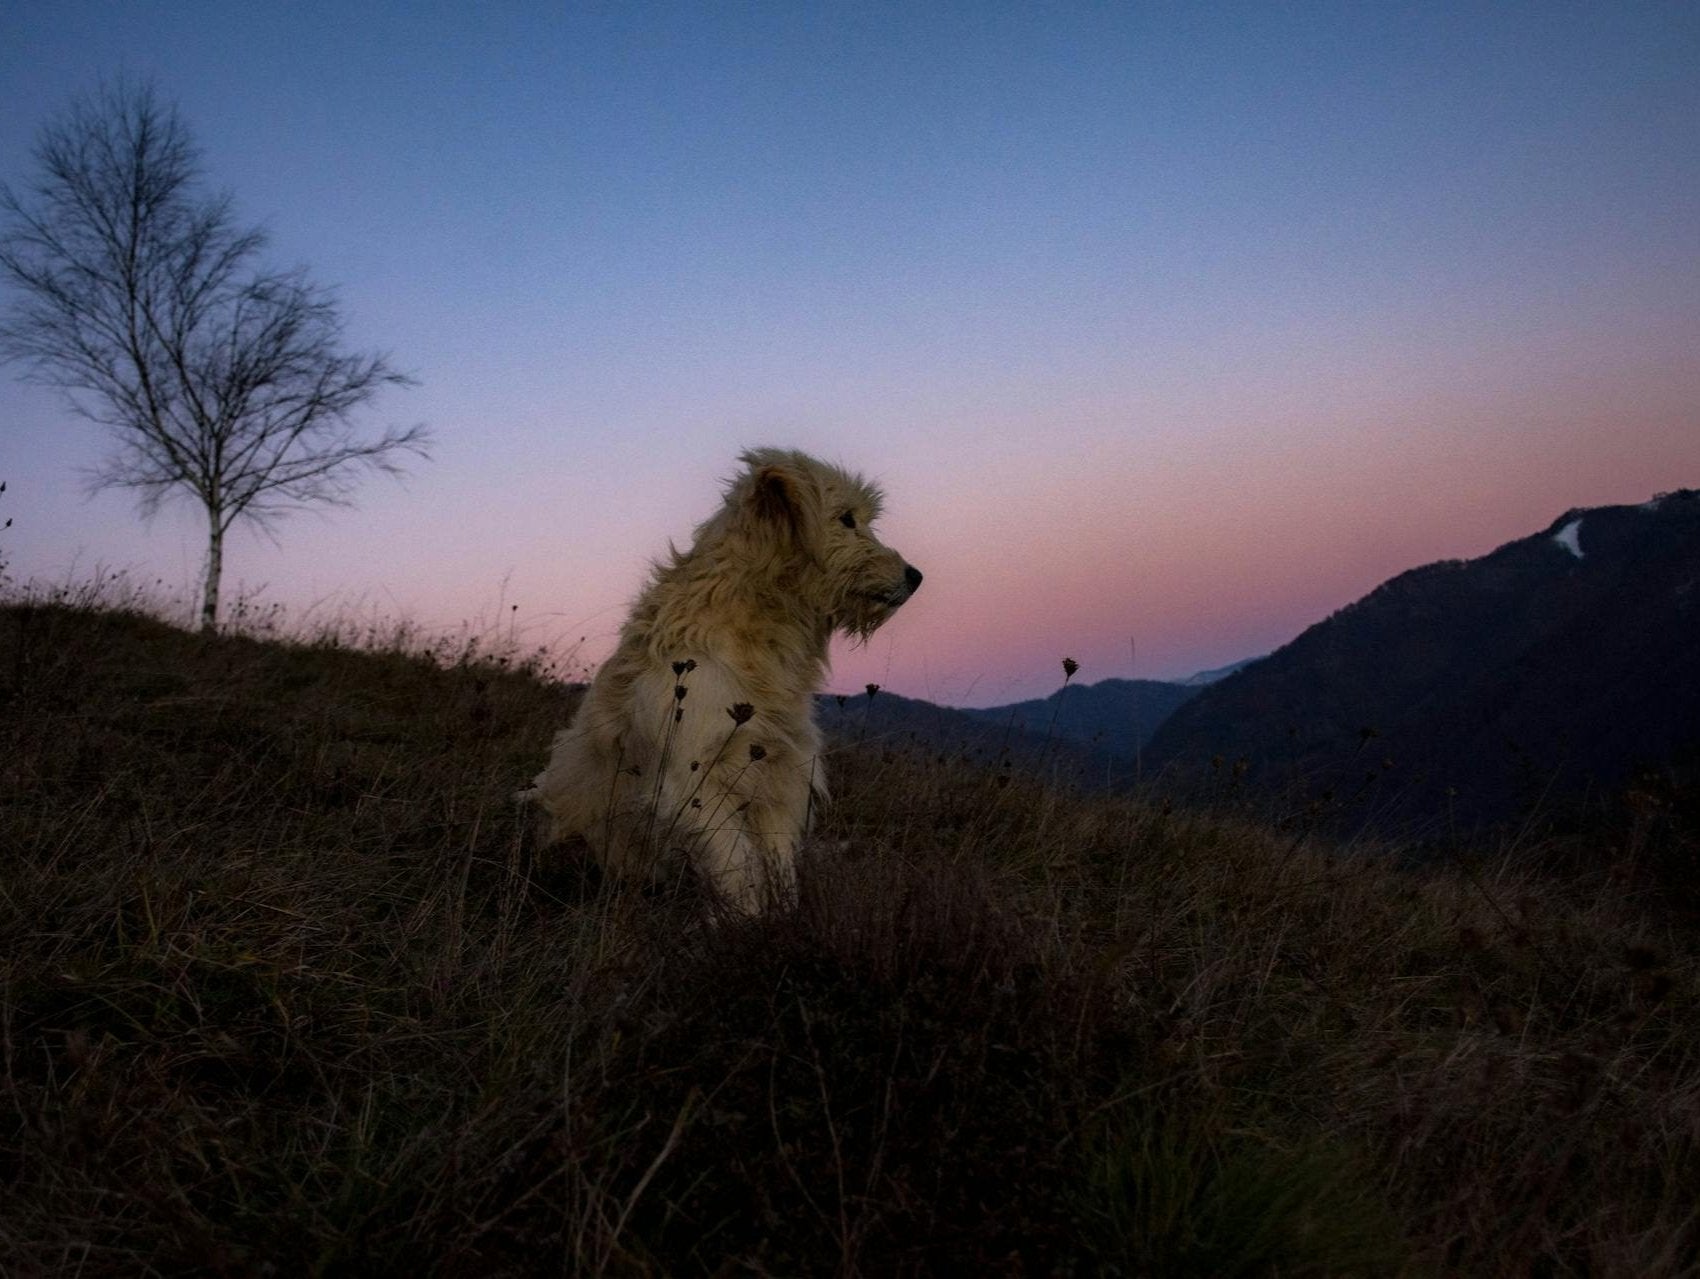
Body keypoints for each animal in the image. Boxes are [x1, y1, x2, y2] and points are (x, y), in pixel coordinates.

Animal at [523, 445, 924, 911]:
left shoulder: (780, 777)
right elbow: (739, 865)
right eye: (846, 518)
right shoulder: (692, 779)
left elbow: (778, 865)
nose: (915, 576)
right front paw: (749, 922)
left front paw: (784, 917)